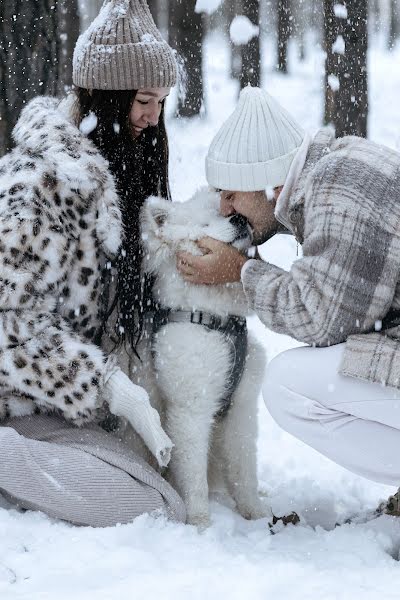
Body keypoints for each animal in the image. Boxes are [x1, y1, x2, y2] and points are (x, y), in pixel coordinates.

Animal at [138, 189, 268, 528]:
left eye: (226, 210)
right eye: (206, 223)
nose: (239, 218)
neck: (216, 320)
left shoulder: (241, 406)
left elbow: (244, 466)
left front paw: (255, 513)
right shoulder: (190, 409)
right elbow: (193, 475)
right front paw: (199, 522)